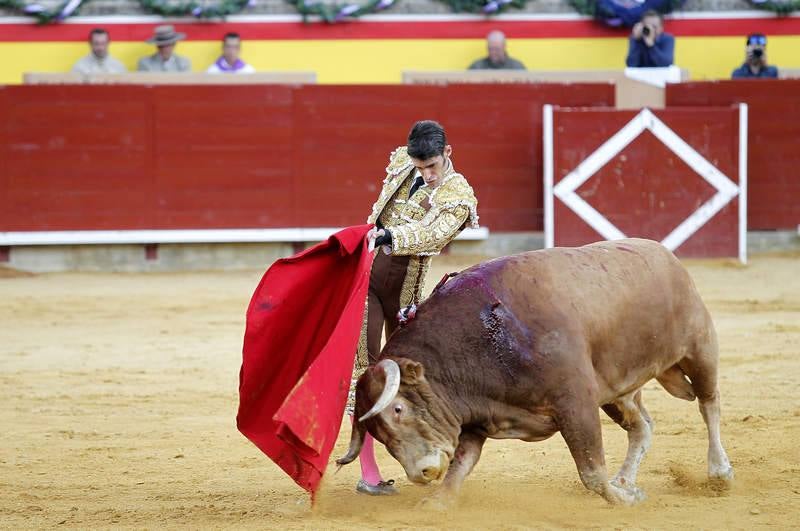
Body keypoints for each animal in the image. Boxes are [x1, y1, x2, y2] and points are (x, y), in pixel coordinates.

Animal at [334, 239, 736, 504]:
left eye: (398, 409)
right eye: (378, 434)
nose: (420, 473)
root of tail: (665, 255)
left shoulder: (576, 403)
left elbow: (591, 470)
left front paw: (622, 500)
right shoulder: (477, 419)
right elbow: (461, 466)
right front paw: (436, 503)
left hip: (700, 347)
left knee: (709, 404)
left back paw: (719, 471)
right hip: (617, 390)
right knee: (642, 427)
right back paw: (625, 479)